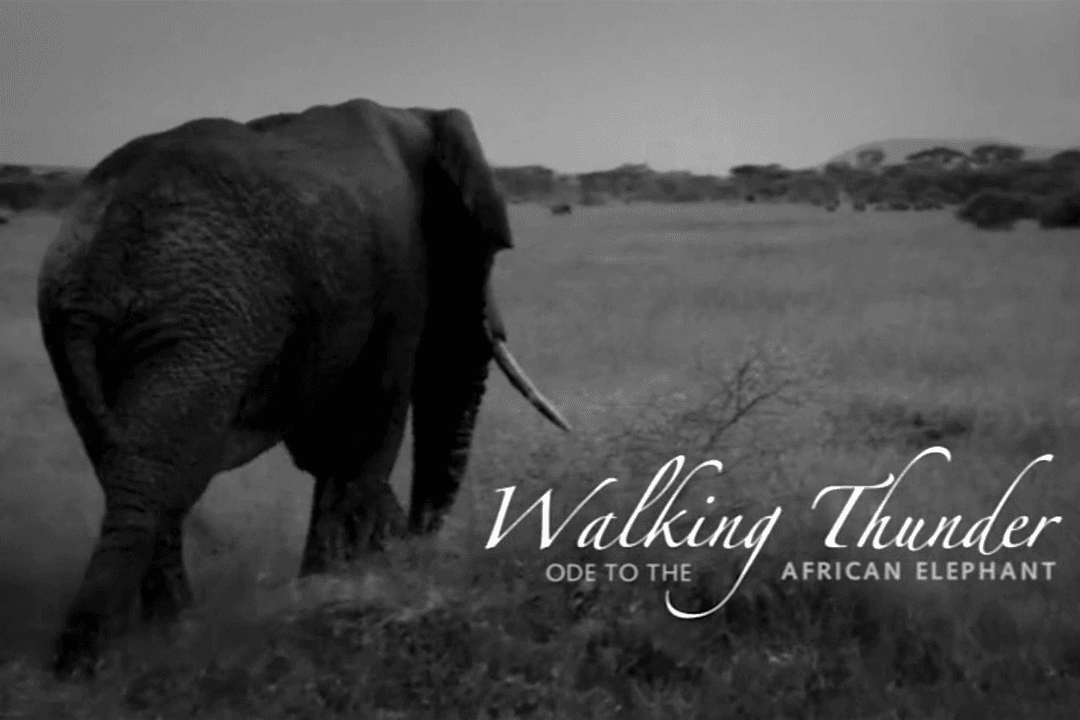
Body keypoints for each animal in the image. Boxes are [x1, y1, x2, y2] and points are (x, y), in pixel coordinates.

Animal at [37, 97, 571, 678]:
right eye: (483, 252)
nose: (416, 555)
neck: (415, 115)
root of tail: (93, 270)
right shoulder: (402, 277)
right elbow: (366, 433)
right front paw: (324, 599)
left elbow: (328, 444)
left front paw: (327, 590)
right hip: (200, 326)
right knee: (157, 473)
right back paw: (103, 659)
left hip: (92, 338)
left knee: (134, 473)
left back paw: (161, 638)